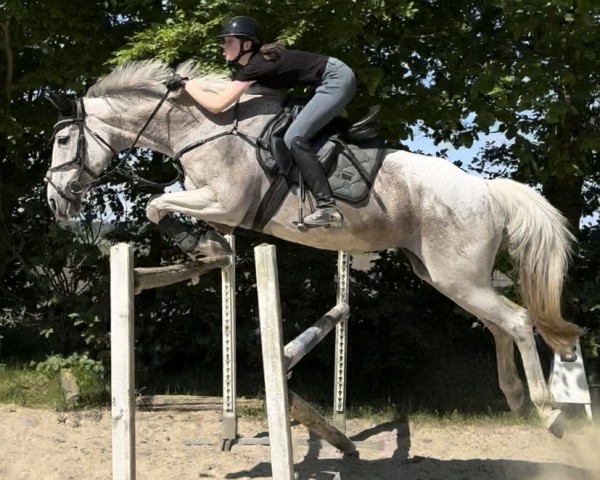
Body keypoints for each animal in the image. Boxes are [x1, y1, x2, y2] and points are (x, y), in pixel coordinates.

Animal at [45, 59, 580, 436]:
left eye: (65, 139)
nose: (54, 199)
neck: (201, 128)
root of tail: (485, 190)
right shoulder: (217, 206)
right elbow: (174, 214)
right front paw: (207, 249)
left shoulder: (225, 201)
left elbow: (157, 205)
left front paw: (196, 243)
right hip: (444, 276)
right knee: (497, 323)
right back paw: (514, 396)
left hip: (458, 276)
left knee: (518, 320)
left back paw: (548, 411)